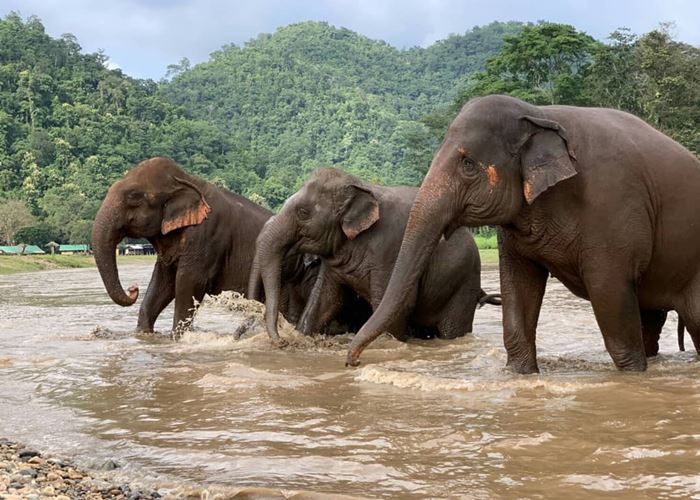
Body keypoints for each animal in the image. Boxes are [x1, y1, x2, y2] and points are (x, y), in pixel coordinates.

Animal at [93, 157, 364, 336]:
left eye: (133, 197)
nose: (132, 289)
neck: (188, 180)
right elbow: (163, 283)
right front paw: (144, 336)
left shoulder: (207, 237)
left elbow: (187, 284)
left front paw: (177, 338)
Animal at [249, 167, 500, 344]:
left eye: (303, 213)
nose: (281, 341)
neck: (360, 185)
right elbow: (326, 300)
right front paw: (302, 336)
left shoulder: (389, 251)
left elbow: (395, 305)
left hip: (462, 284)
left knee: (452, 328)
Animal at [348, 95, 700, 374]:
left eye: (468, 164)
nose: (353, 361)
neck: (539, 113)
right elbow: (518, 285)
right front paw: (519, 374)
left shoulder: (611, 207)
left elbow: (609, 292)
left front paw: (631, 377)